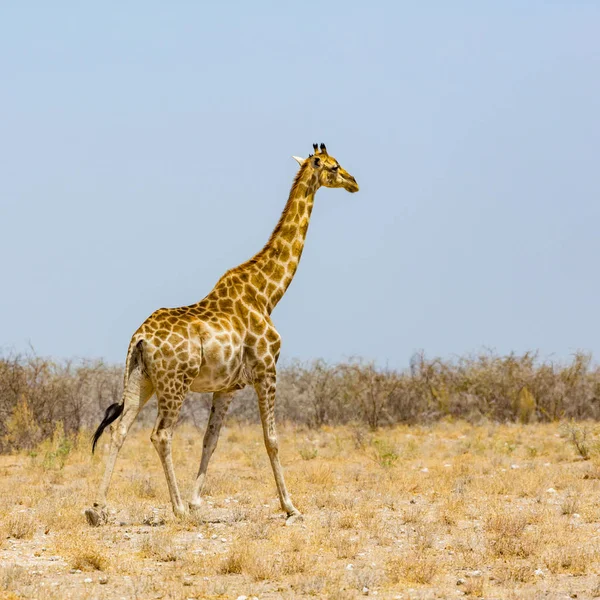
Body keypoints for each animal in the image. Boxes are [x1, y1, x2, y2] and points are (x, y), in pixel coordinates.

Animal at [83, 144, 356, 524]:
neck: (267, 293)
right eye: (333, 166)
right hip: (175, 383)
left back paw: (98, 509)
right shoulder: (267, 370)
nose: (354, 182)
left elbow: (210, 439)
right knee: (161, 435)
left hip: (142, 378)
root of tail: (139, 338)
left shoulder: (227, 386)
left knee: (119, 429)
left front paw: (198, 501)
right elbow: (271, 439)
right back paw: (176, 508)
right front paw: (290, 507)